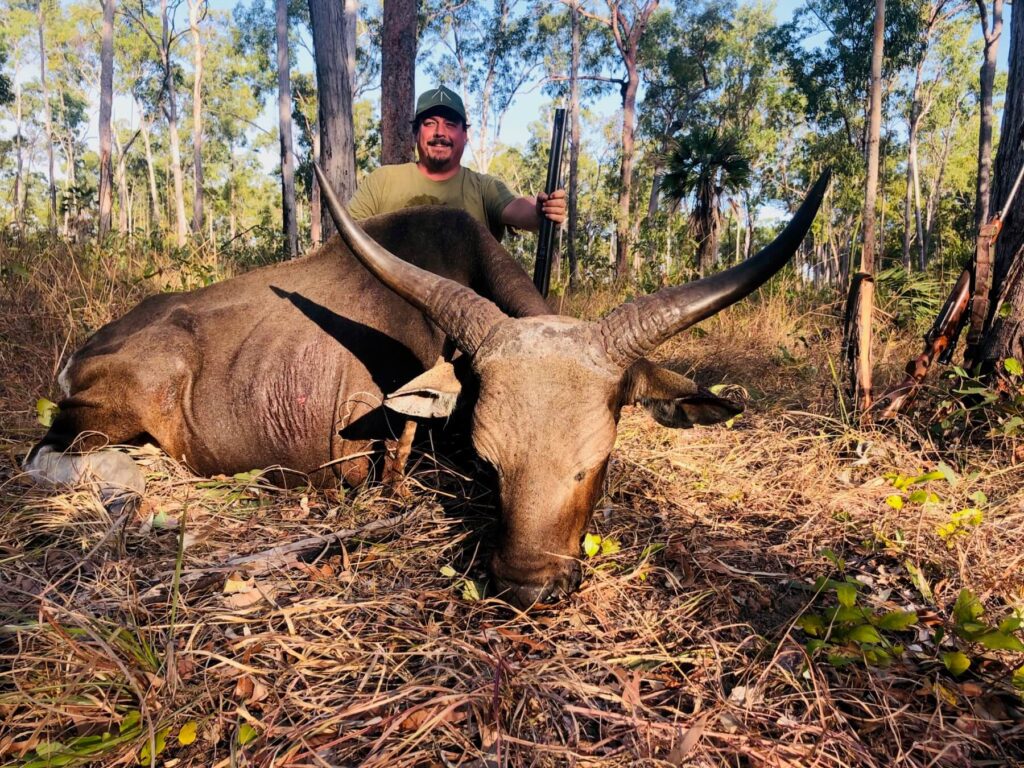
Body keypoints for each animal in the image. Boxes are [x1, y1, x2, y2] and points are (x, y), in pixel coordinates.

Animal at [24, 166, 829, 608]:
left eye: (594, 463)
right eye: (490, 462)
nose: (528, 586)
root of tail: (85, 348)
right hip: (104, 412)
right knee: (54, 459)